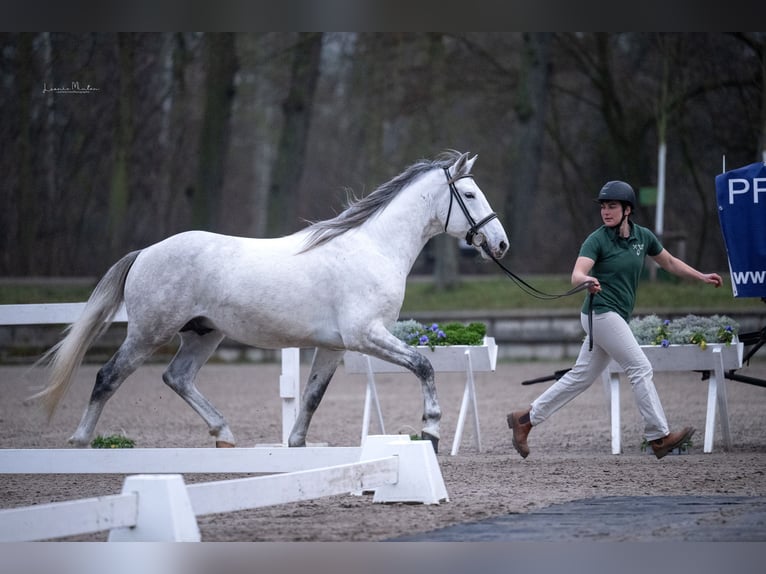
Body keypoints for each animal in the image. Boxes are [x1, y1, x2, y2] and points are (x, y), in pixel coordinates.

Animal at [30, 150, 509, 452]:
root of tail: (146, 252)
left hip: (203, 335)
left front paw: (296, 445)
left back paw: (223, 432)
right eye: (469, 194)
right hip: (150, 333)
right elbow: (424, 365)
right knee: (108, 377)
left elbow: (312, 397)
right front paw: (431, 430)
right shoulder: (366, 336)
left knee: (176, 378)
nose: (500, 244)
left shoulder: (334, 347)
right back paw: (80, 441)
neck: (373, 247)